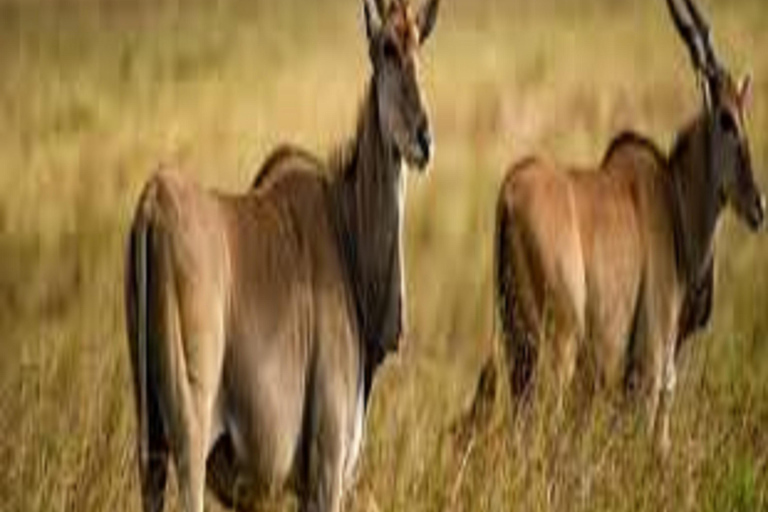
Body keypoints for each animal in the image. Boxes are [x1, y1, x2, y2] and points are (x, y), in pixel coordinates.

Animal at [123, 1, 440, 512]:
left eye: (419, 48)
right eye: (388, 49)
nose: (423, 138)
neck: (345, 225)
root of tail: (153, 203)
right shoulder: (326, 469)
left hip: (149, 442)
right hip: (189, 439)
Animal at [492, 0, 760, 452]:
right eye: (726, 119)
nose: (759, 206)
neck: (673, 196)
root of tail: (509, 196)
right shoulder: (651, 370)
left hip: (519, 357)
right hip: (556, 355)